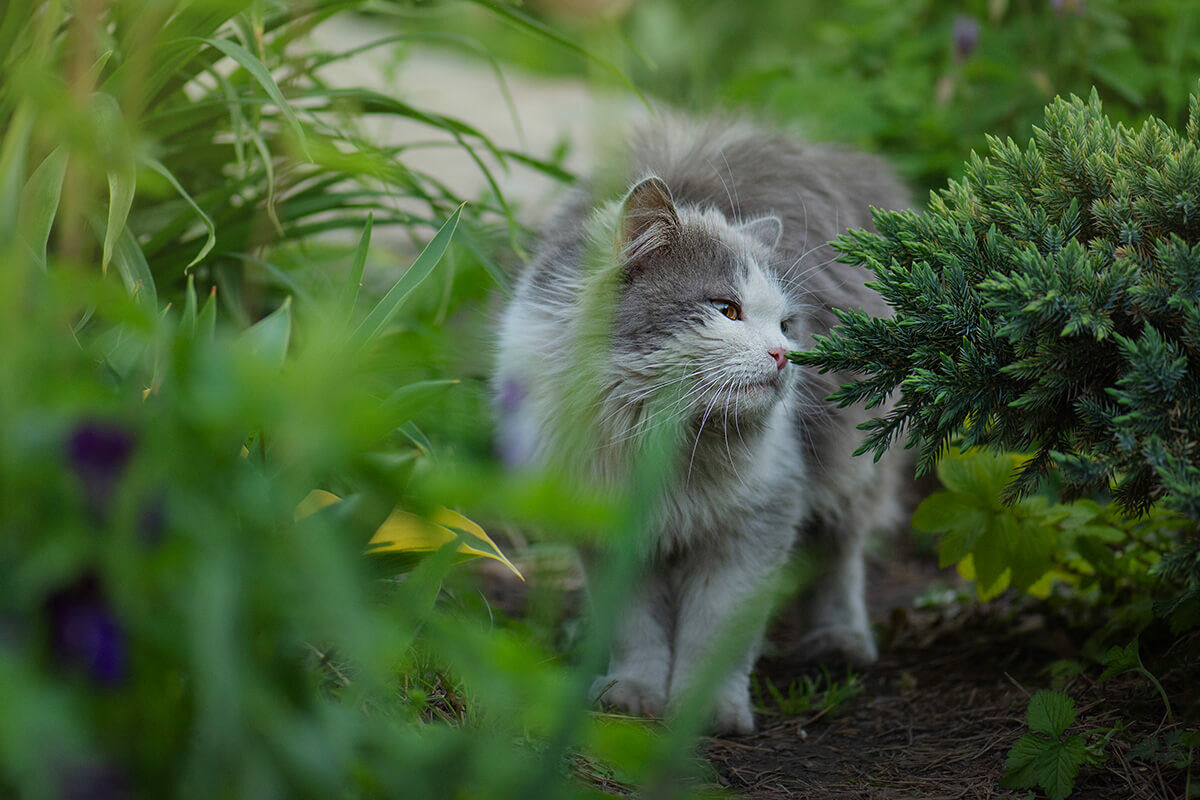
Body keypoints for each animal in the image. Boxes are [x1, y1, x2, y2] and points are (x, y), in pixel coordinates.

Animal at [492, 115, 912, 734]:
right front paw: (633, 695)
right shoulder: (609, 530)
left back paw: (838, 641)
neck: (664, 440)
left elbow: (716, 633)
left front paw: (705, 711)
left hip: (850, 470)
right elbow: (636, 630)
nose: (785, 357)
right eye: (727, 310)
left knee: (839, 556)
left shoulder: (756, 522)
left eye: (787, 325)